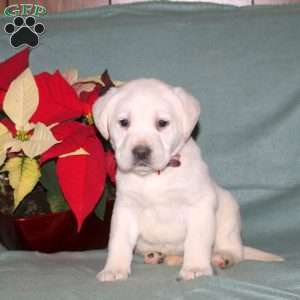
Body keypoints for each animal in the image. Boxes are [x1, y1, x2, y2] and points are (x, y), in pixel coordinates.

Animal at [92, 78, 282, 282]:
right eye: (124, 122)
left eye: (162, 123)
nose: (141, 152)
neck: (156, 176)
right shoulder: (125, 208)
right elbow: (118, 241)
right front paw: (114, 269)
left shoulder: (199, 205)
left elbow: (196, 240)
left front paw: (196, 267)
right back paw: (156, 255)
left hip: (229, 215)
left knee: (234, 249)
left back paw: (222, 257)